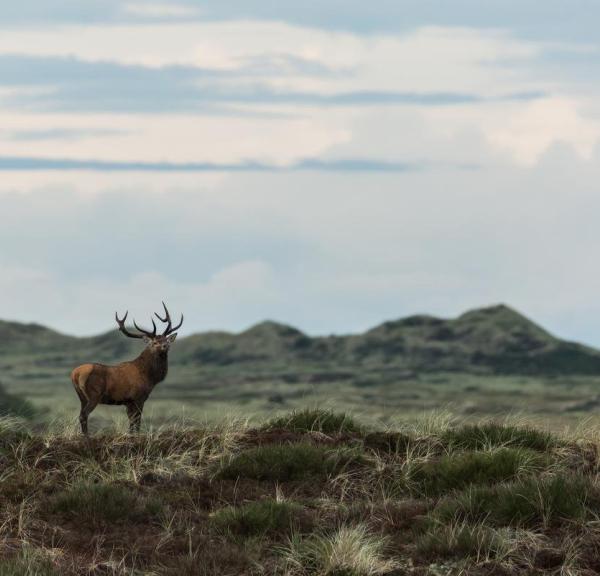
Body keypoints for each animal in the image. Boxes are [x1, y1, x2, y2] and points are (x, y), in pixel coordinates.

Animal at [70, 304, 183, 434]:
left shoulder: (128, 401)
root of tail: (75, 374)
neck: (150, 377)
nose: (166, 346)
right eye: (154, 342)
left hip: (82, 397)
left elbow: (131, 423)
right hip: (94, 394)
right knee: (83, 415)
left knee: (81, 414)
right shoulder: (138, 397)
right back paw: (87, 436)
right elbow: (137, 422)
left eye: (166, 340)